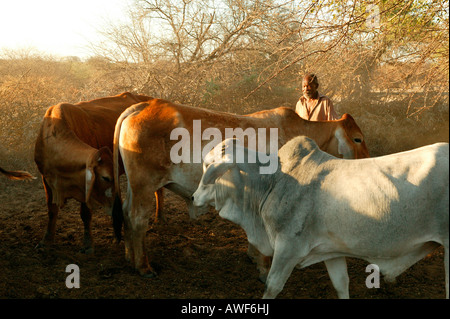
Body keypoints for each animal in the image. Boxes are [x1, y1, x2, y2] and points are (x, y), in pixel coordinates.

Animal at [33, 91, 153, 254]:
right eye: (105, 178)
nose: (117, 210)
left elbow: (85, 214)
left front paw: (88, 243)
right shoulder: (46, 179)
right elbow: (52, 210)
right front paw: (46, 241)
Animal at [110, 99, 370, 276]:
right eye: (357, 138)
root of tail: (143, 105)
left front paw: (254, 257)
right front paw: (264, 266)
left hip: (135, 186)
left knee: (126, 213)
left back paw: (129, 258)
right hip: (145, 186)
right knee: (137, 218)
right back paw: (143, 266)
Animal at [192, 138, 448, 300]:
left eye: (207, 166)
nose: (193, 197)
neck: (273, 181)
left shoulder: (288, 248)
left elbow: (272, 287)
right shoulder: (331, 251)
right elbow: (341, 285)